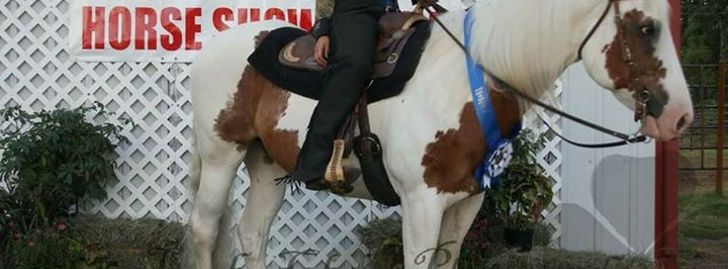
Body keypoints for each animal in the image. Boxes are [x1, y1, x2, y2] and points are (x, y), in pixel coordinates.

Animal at [186, 1, 692, 266]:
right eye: (646, 26)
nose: (680, 117)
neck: (463, 81)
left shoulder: (466, 201)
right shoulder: (421, 203)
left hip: (266, 163)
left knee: (252, 233)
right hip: (220, 156)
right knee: (205, 230)